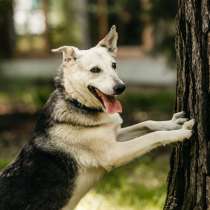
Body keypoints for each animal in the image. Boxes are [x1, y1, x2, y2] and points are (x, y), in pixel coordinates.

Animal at [0, 25, 194, 210]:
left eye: (114, 65)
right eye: (95, 70)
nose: (121, 87)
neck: (76, 103)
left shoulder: (114, 135)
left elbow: (147, 123)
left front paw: (172, 123)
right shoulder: (114, 153)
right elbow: (152, 136)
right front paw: (180, 134)